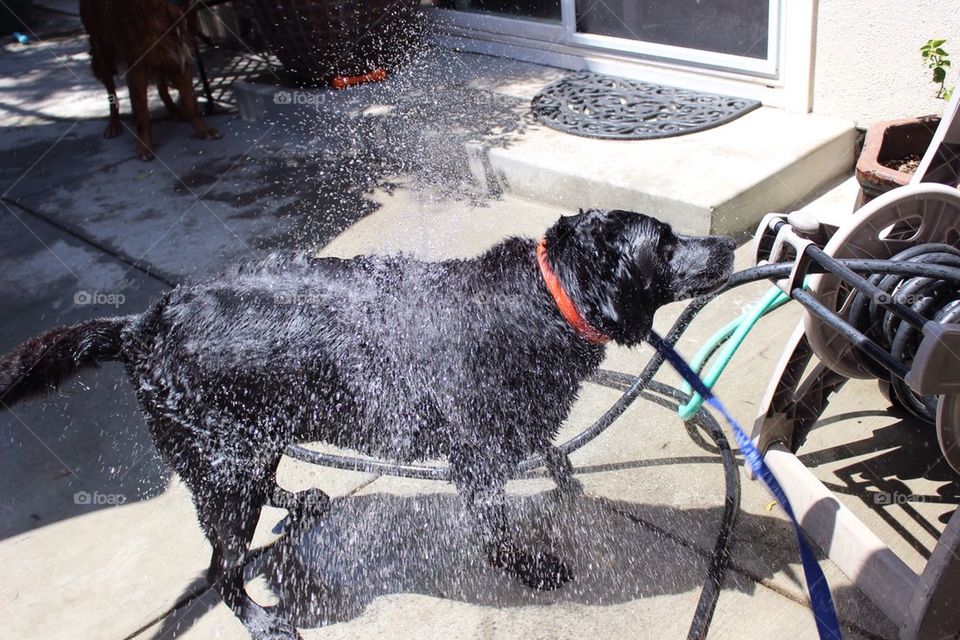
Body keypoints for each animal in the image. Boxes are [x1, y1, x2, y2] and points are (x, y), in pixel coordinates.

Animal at [0, 210, 736, 640]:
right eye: (665, 242)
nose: (730, 243)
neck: (547, 298)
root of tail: (139, 326)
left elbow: (551, 455)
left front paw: (560, 473)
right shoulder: (478, 460)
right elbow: (499, 526)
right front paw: (529, 564)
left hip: (253, 442)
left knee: (261, 497)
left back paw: (301, 499)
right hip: (222, 468)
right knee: (220, 568)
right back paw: (262, 622)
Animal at [79, 0, 221, 160]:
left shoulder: (181, 52)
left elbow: (191, 103)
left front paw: (203, 129)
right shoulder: (137, 66)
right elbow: (142, 113)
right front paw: (144, 146)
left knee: (162, 88)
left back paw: (174, 110)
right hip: (102, 53)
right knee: (111, 91)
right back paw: (114, 124)